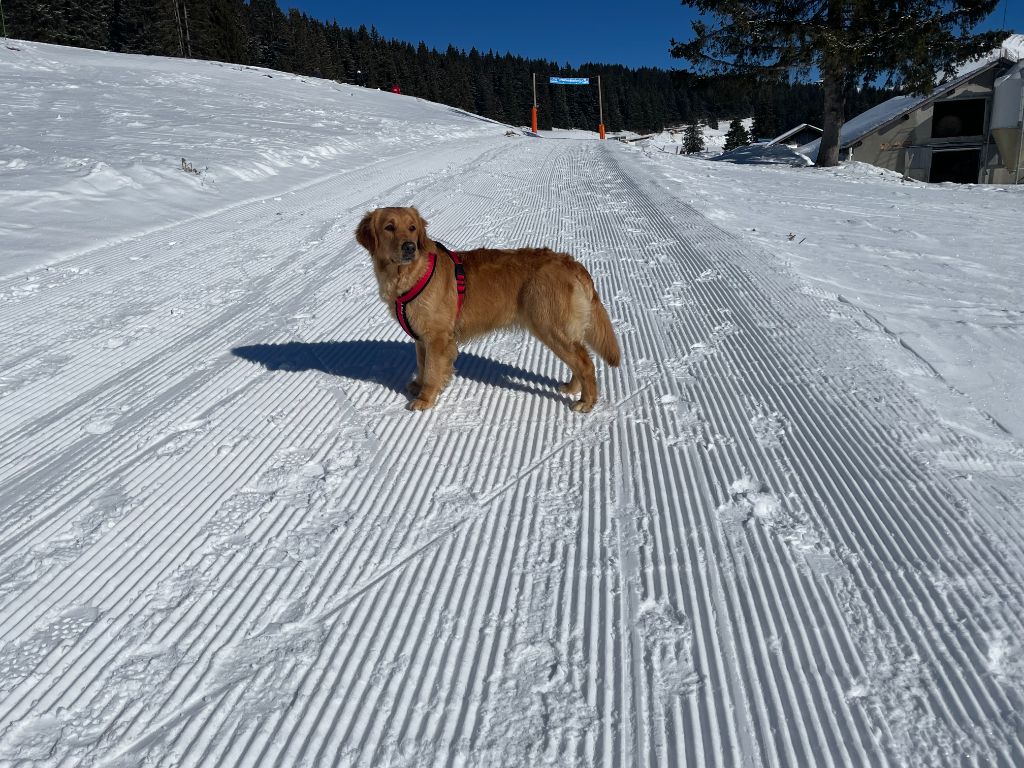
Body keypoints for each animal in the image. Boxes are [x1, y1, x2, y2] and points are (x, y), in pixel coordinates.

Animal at [356, 204, 618, 409]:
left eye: (412, 228)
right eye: (389, 227)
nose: (410, 247)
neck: (408, 274)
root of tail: (571, 263)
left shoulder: (437, 338)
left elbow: (431, 370)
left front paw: (425, 399)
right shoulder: (421, 338)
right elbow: (422, 365)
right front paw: (418, 386)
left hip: (551, 328)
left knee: (586, 363)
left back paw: (586, 402)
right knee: (581, 357)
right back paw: (573, 388)